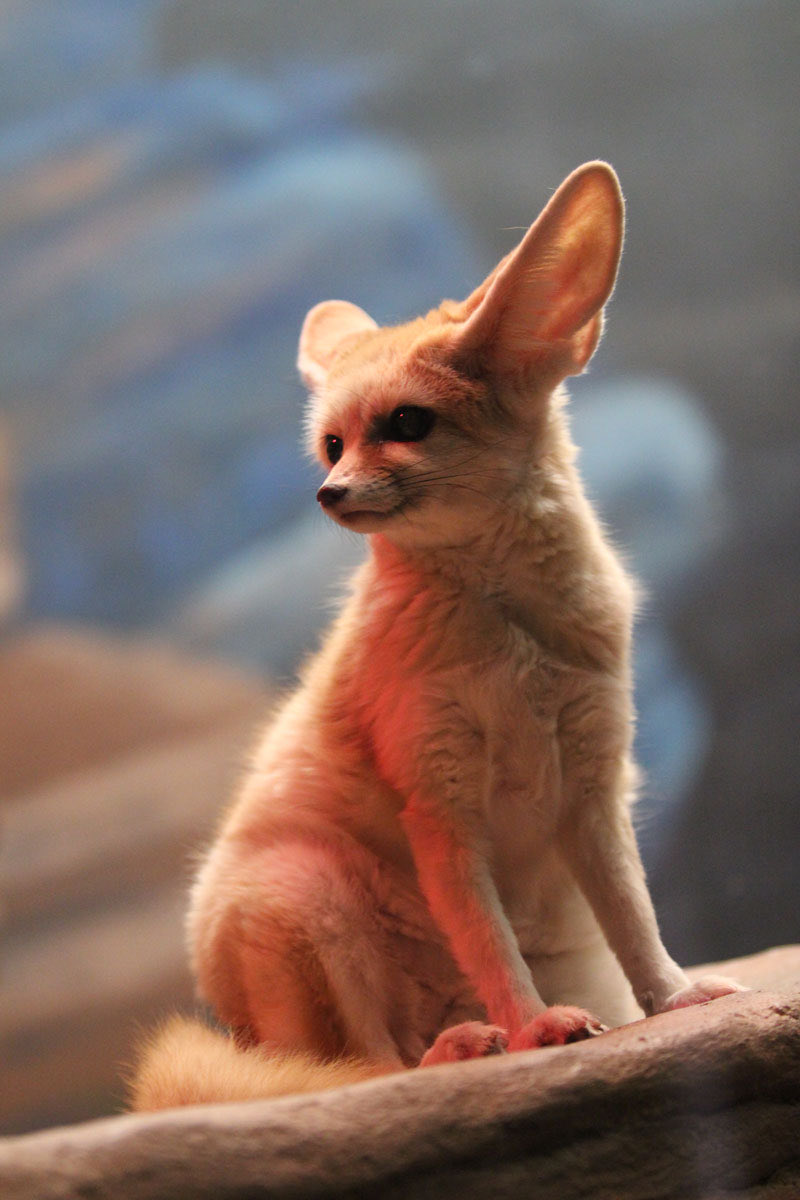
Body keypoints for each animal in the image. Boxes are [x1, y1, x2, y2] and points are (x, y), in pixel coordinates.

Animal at [130, 161, 743, 1111]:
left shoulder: (594, 787)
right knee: (362, 1069)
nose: (328, 494)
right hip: (311, 892)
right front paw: (537, 1027)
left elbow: (637, 919)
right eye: (332, 445)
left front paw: (674, 997)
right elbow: (490, 943)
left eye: (407, 424)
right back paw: (462, 1045)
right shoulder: (439, 806)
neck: (510, 633)